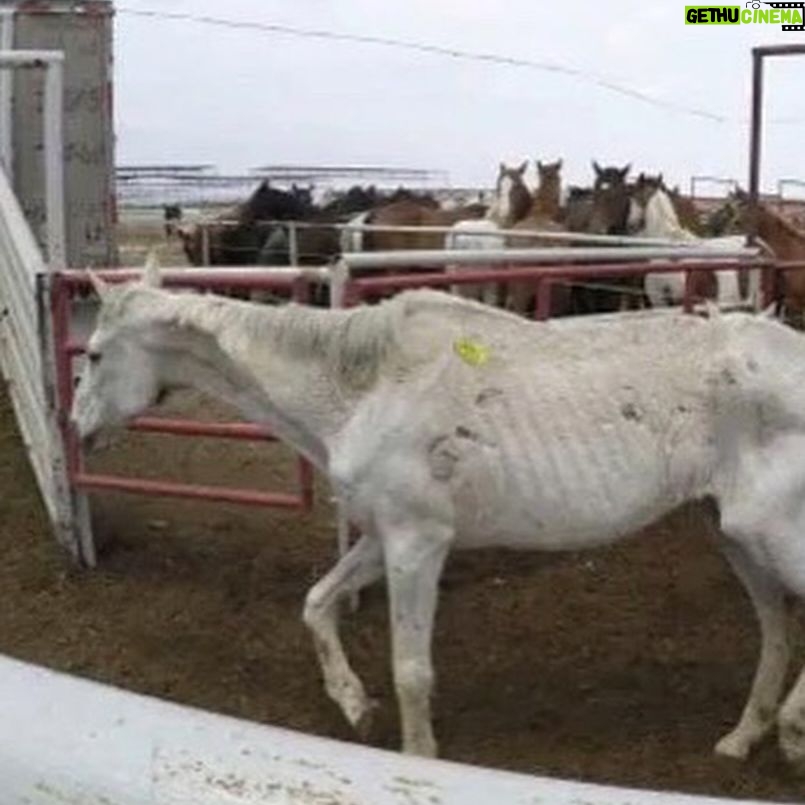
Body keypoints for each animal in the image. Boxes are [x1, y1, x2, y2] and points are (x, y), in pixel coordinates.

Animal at [72, 259, 805, 771]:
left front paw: (417, 755)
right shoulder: (384, 536)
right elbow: (317, 604)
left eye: (95, 353)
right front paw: (353, 704)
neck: (363, 390)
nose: (77, 431)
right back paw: (742, 738)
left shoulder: (415, 545)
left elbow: (412, 670)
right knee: (776, 630)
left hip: (772, 536)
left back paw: (791, 735)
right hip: (732, 536)